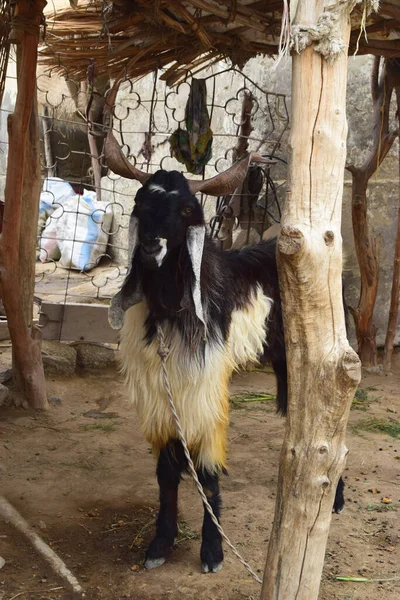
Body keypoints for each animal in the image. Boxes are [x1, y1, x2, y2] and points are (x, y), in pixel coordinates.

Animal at [108, 132, 346, 576]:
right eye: (140, 203)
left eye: (187, 209)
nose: (149, 246)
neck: (169, 311)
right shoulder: (162, 392)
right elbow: (166, 472)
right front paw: (160, 543)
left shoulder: (205, 389)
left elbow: (207, 472)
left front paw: (212, 550)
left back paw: (335, 498)